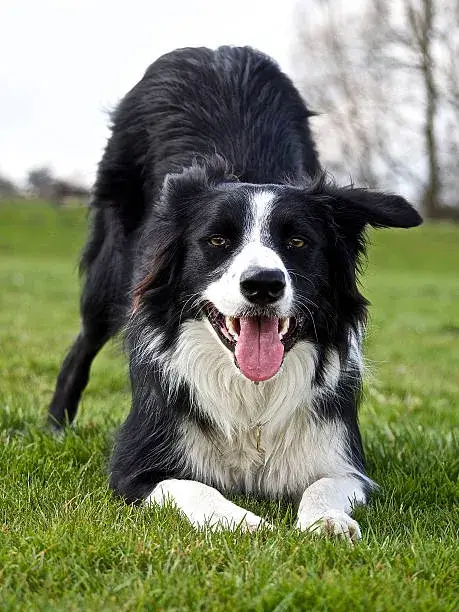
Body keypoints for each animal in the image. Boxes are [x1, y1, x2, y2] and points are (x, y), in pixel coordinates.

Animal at [48, 45, 422, 540]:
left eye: (297, 242)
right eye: (217, 240)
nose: (263, 284)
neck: (250, 395)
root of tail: (214, 50)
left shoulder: (341, 458)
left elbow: (324, 485)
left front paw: (328, 522)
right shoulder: (136, 466)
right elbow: (192, 487)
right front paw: (245, 522)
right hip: (108, 273)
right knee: (82, 345)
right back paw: (54, 427)